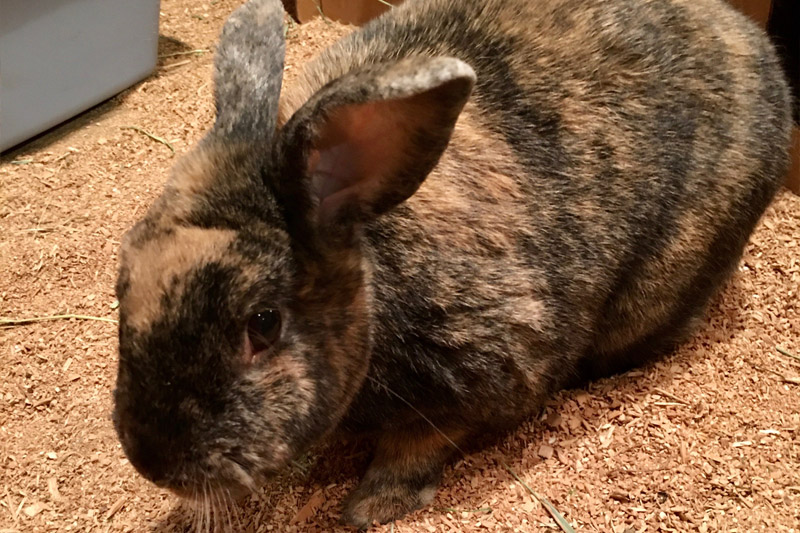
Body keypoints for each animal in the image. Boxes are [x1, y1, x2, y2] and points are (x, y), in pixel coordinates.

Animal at [112, 0, 792, 528]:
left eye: (262, 323)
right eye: (123, 284)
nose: (150, 461)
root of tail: (759, 50)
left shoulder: (478, 376)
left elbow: (417, 447)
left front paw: (370, 508)